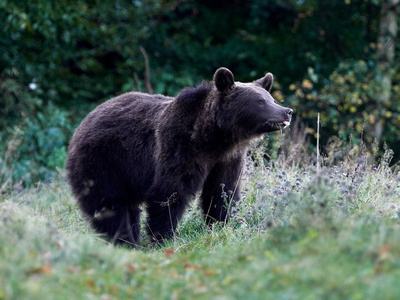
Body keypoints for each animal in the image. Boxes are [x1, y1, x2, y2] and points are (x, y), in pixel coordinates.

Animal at [65, 68, 290, 246]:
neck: (214, 138)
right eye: (260, 101)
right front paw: (164, 237)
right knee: (108, 204)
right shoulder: (179, 147)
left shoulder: (228, 159)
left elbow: (223, 191)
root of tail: (85, 120)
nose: (287, 111)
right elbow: (170, 192)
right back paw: (124, 241)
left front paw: (221, 225)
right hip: (103, 161)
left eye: (271, 98)